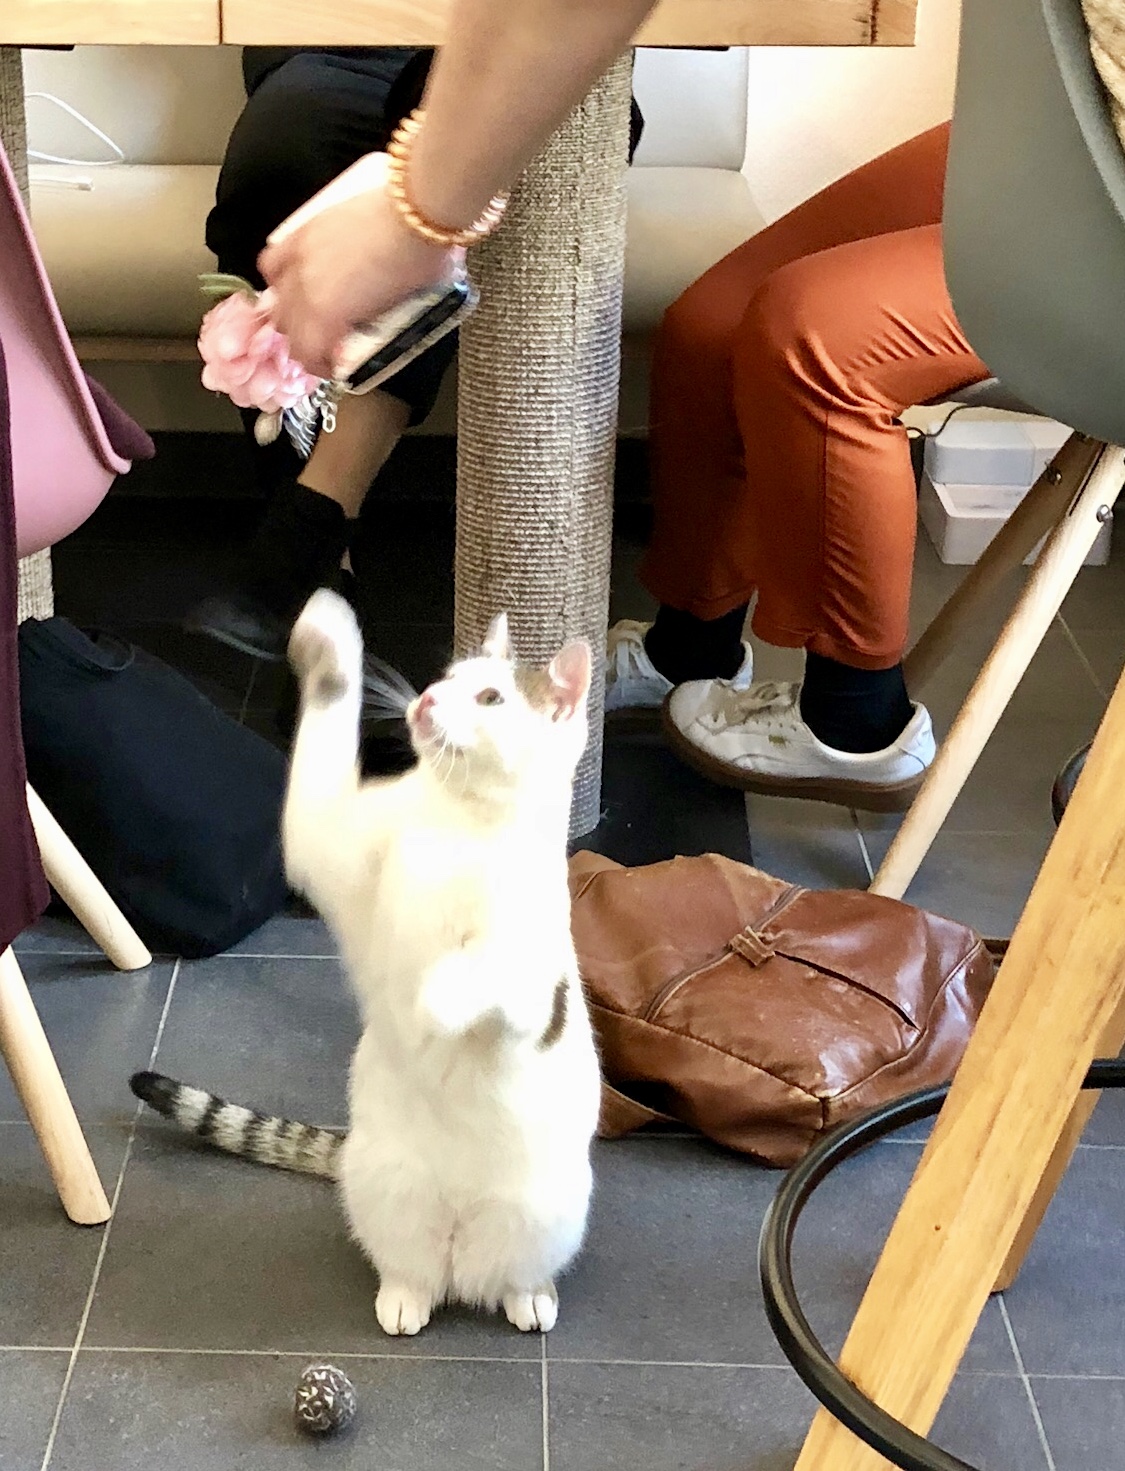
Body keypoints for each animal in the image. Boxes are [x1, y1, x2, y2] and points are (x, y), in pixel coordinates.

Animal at [131, 589, 602, 1337]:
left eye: (491, 697)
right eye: (445, 675)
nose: (427, 700)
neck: (455, 824)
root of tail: (461, 1248)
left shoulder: (535, 989)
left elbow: (490, 975)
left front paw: (442, 993)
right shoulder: (323, 842)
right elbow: (324, 741)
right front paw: (328, 637)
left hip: (548, 1209)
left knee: (512, 1271)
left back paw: (528, 1296)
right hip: (385, 1185)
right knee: (413, 1264)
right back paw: (405, 1295)